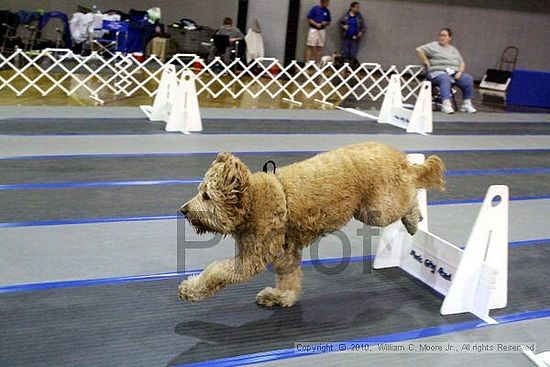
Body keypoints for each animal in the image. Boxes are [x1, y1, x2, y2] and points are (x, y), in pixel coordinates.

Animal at [179, 143, 446, 308]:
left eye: (206, 196)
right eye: (201, 192)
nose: (183, 210)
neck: (254, 199)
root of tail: (397, 156)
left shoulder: (253, 257)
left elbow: (217, 272)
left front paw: (190, 289)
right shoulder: (285, 252)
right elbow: (289, 277)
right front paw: (281, 297)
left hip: (378, 209)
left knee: (410, 191)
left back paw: (413, 218)